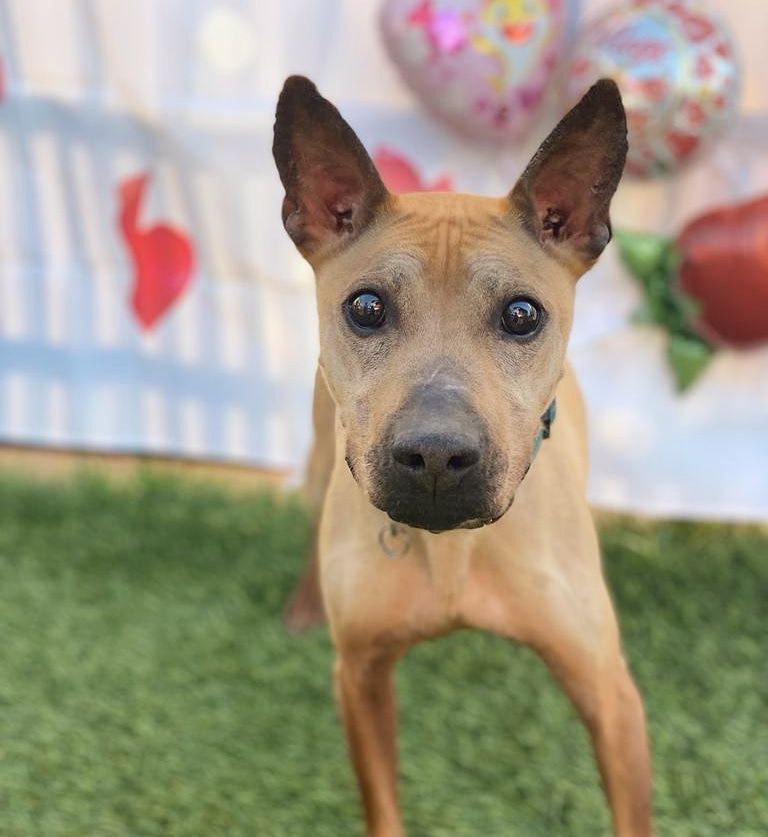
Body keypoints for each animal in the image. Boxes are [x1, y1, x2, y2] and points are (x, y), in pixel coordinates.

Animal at [272, 75, 652, 832]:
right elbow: (382, 805)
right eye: (366, 307)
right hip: (323, 455)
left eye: (521, 315)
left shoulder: (612, 696)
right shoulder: (359, 676)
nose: (436, 458)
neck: (451, 551)